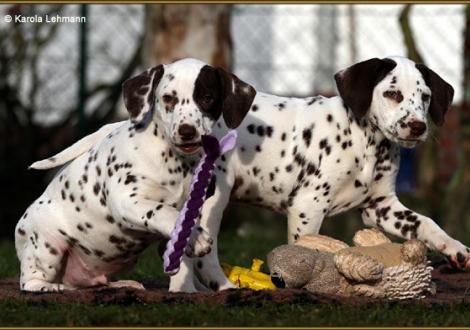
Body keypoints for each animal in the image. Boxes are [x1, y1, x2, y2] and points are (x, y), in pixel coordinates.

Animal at [14, 58, 255, 292]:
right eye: (168, 99)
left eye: (207, 98)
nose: (187, 131)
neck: (175, 161)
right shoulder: (127, 201)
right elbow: (163, 212)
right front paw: (197, 239)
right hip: (48, 246)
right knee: (29, 281)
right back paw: (49, 287)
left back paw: (123, 284)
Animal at [188, 56, 470, 292]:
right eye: (392, 93)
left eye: (425, 97)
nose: (417, 126)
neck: (365, 142)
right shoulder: (308, 206)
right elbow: (304, 247)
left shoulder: (381, 207)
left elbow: (425, 223)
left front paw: (455, 248)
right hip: (213, 198)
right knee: (203, 255)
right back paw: (222, 287)